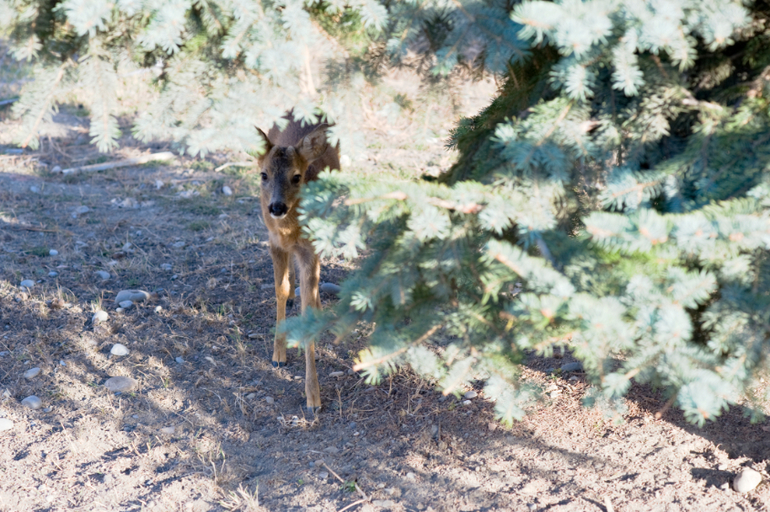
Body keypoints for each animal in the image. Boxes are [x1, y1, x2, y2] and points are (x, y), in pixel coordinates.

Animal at [255, 113, 340, 415]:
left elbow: (307, 307)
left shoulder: (309, 248)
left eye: (296, 176)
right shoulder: (273, 242)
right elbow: (279, 290)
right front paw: (278, 355)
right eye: (264, 174)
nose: (277, 207)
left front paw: (313, 397)